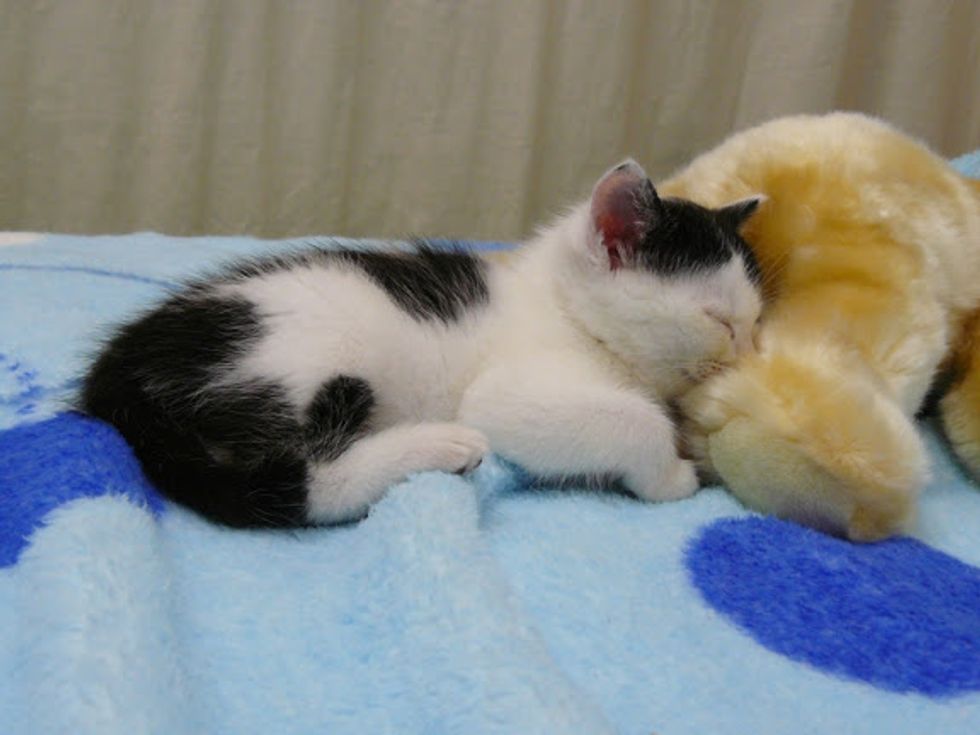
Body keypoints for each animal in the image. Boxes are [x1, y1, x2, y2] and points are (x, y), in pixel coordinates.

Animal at [80, 161, 760, 528]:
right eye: (719, 320)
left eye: (756, 321)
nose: (748, 356)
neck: (564, 309)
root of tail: (114, 379)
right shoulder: (510, 390)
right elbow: (627, 420)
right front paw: (671, 472)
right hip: (306, 356)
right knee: (308, 482)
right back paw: (440, 446)